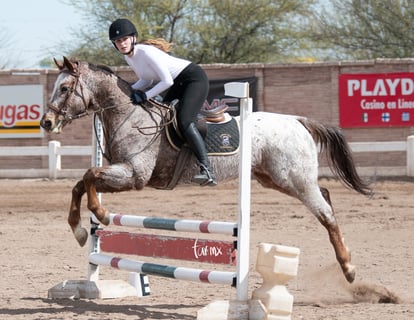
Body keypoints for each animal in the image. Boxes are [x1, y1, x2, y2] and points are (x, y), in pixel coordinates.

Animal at [41, 57, 372, 282]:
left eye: (65, 88)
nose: (46, 121)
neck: (129, 115)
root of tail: (298, 121)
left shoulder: (134, 175)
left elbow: (90, 177)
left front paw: (101, 213)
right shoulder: (122, 173)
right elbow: (80, 183)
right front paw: (80, 230)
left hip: (293, 179)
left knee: (325, 213)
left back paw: (350, 269)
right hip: (277, 179)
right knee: (325, 194)